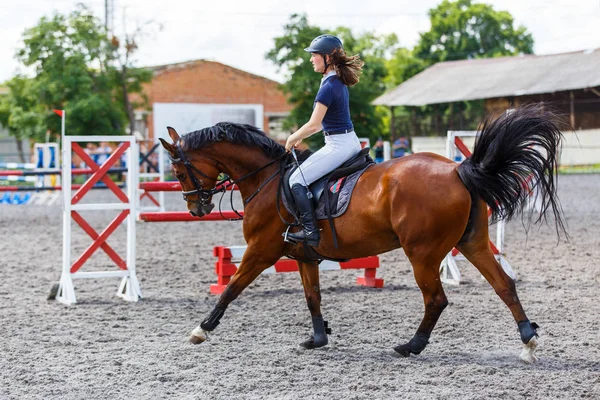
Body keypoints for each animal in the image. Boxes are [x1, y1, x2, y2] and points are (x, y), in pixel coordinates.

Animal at [158, 106, 564, 362]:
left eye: (178, 170)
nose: (195, 208)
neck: (267, 179)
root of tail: (457, 171)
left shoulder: (261, 250)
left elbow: (231, 288)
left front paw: (201, 330)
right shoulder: (305, 256)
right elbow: (313, 297)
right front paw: (318, 339)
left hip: (423, 253)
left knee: (436, 300)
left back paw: (411, 346)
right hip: (471, 243)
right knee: (504, 285)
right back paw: (528, 341)